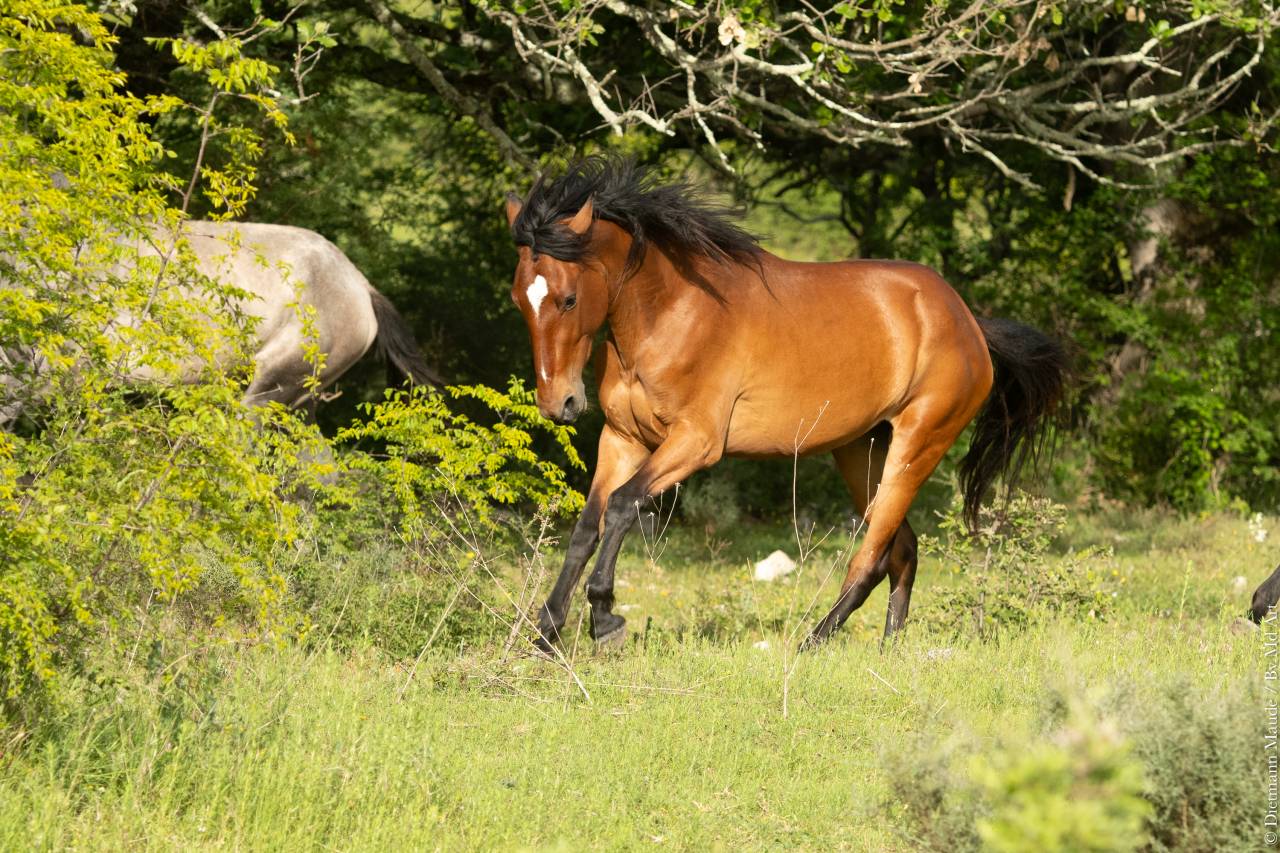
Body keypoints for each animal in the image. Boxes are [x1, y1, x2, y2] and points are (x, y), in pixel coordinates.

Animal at [504, 157, 1070, 651]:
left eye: (569, 299)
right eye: (518, 301)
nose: (559, 403)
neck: (670, 315)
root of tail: (968, 321)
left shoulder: (695, 442)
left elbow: (622, 505)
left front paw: (605, 619)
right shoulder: (622, 439)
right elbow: (587, 527)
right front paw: (545, 635)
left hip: (919, 444)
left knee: (871, 558)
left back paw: (811, 643)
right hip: (861, 451)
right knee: (903, 551)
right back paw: (888, 650)